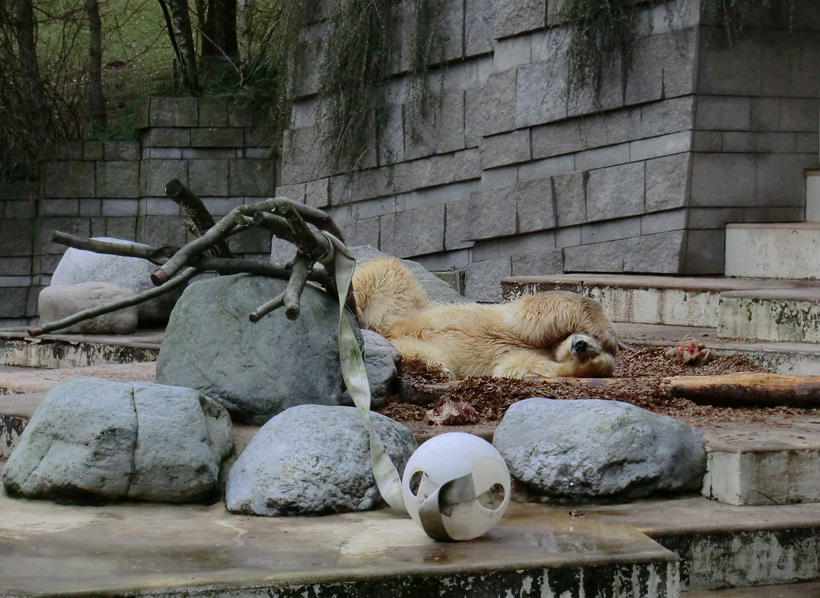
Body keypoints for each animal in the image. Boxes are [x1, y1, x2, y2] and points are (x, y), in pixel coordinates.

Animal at [352, 256, 616, 380]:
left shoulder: (517, 357)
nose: (580, 345)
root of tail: (386, 329)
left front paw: (595, 365)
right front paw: (607, 333)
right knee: (385, 270)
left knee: (433, 358)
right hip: (400, 302)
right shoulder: (518, 323)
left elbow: (518, 368)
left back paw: (422, 366)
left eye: (591, 348)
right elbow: (537, 311)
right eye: (591, 340)